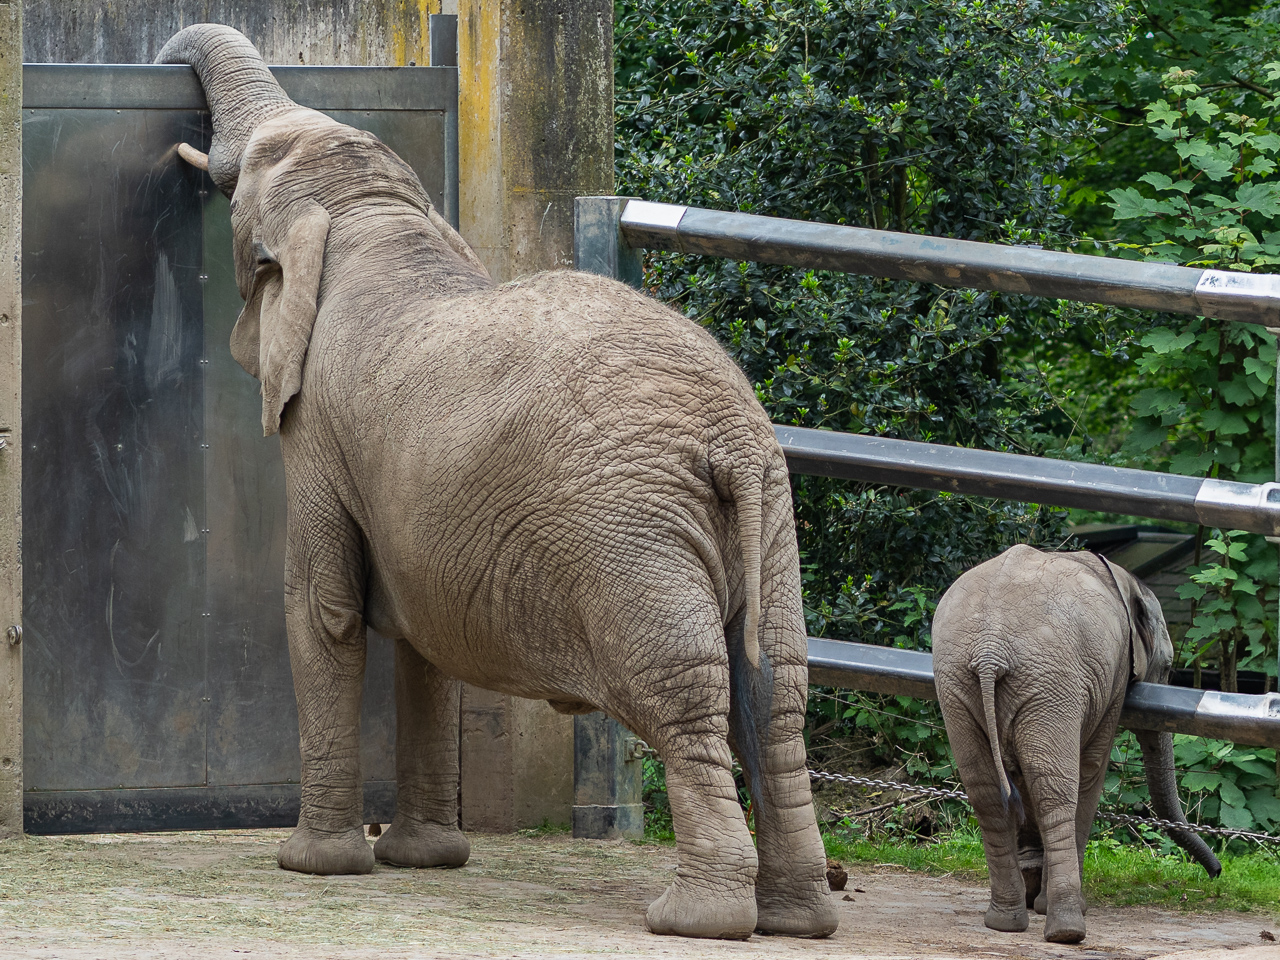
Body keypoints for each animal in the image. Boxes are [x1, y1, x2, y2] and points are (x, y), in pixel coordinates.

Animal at [157, 24, 839, 947]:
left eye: (253, 167)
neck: (373, 215)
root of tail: (728, 434)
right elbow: (422, 632)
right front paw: (422, 861)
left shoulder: (317, 431)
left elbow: (321, 607)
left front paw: (312, 866)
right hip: (770, 517)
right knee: (778, 690)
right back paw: (798, 918)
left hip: (629, 538)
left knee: (684, 687)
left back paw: (697, 917)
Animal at [931, 547, 1218, 947]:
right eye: (1168, 665)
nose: (1217, 872)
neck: (1122, 578)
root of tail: (990, 651)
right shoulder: (1112, 679)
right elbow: (1091, 768)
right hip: (1050, 683)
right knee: (1056, 791)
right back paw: (1066, 928)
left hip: (957, 683)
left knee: (987, 793)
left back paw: (1004, 922)